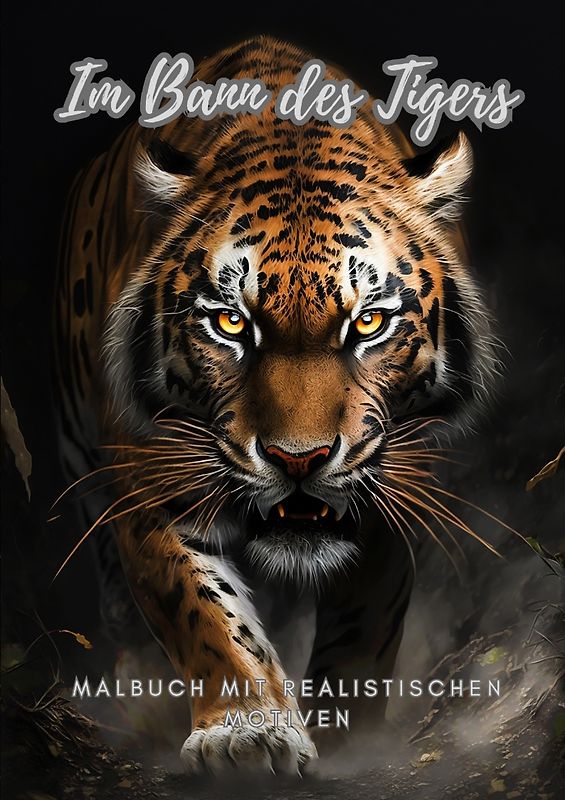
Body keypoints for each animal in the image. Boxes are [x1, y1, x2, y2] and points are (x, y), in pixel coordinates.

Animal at [53, 35, 497, 775]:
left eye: (368, 322)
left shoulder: (391, 494)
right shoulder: (151, 486)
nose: (299, 459)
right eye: (230, 323)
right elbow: (201, 611)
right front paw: (245, 733)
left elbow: (364, 628)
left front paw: (349, 739)